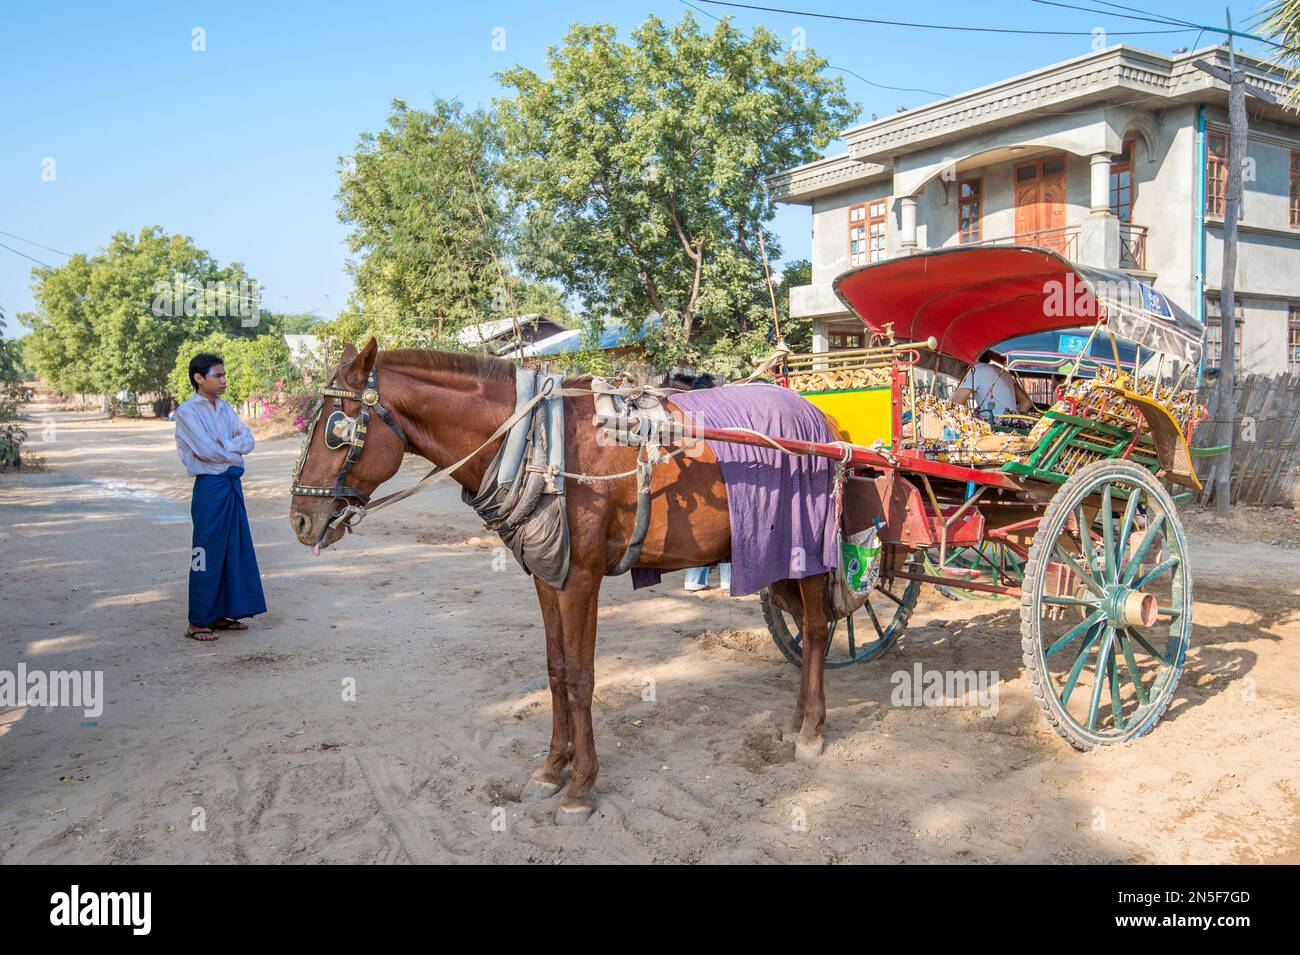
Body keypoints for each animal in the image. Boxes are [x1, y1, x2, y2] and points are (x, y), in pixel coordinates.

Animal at [289, 337, 834, 826]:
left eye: (336, 429)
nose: (299, 520)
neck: (540, 447)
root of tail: (816, 414)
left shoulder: (581, 579)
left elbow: (579, 677)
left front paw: (580, 787)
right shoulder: (548, 573)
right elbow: (554, 671)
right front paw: (552, 769)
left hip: (806, 551)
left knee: (816, 629)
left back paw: (811, 731)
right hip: (771, 560)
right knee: (807, 623)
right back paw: (793, 722)